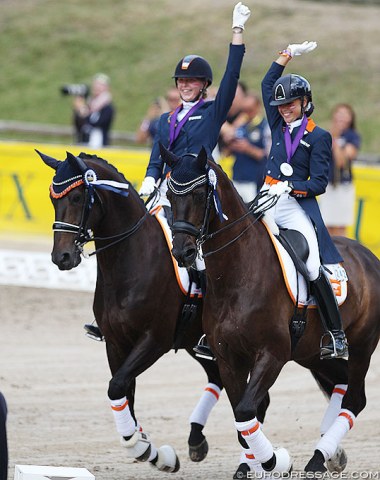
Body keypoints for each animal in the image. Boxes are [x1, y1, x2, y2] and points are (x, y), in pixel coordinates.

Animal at [164, 146, 380, 476]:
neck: (239, 273)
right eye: (169, 195)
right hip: (313, 354)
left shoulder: (272, 354)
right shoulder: (229, 358)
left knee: (354, 400)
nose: (182, 252)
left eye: (201, 195)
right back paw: (330, 455)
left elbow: (246, 411)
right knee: (340, 387)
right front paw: (250, 465)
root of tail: (369, 256)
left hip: (361, 347)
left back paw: (318, 458)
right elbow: (242, 418)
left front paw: (275, 461)